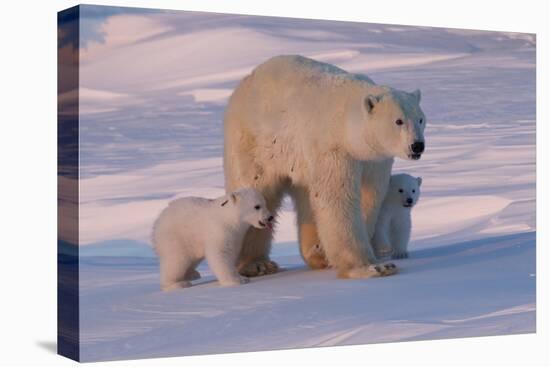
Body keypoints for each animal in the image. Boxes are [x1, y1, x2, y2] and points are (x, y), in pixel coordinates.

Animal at [224, 54, 426, 278]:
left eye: (420, 119)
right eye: (398, 121)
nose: (417, 145)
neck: (346, 123)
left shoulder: (375, 159)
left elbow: (370, 196)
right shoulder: (332, 149)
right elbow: (337, 197)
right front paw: (373, 267)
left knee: (307, 199)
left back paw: (317, 253)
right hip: (256, 143)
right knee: (257, 189)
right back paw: (257, 264)